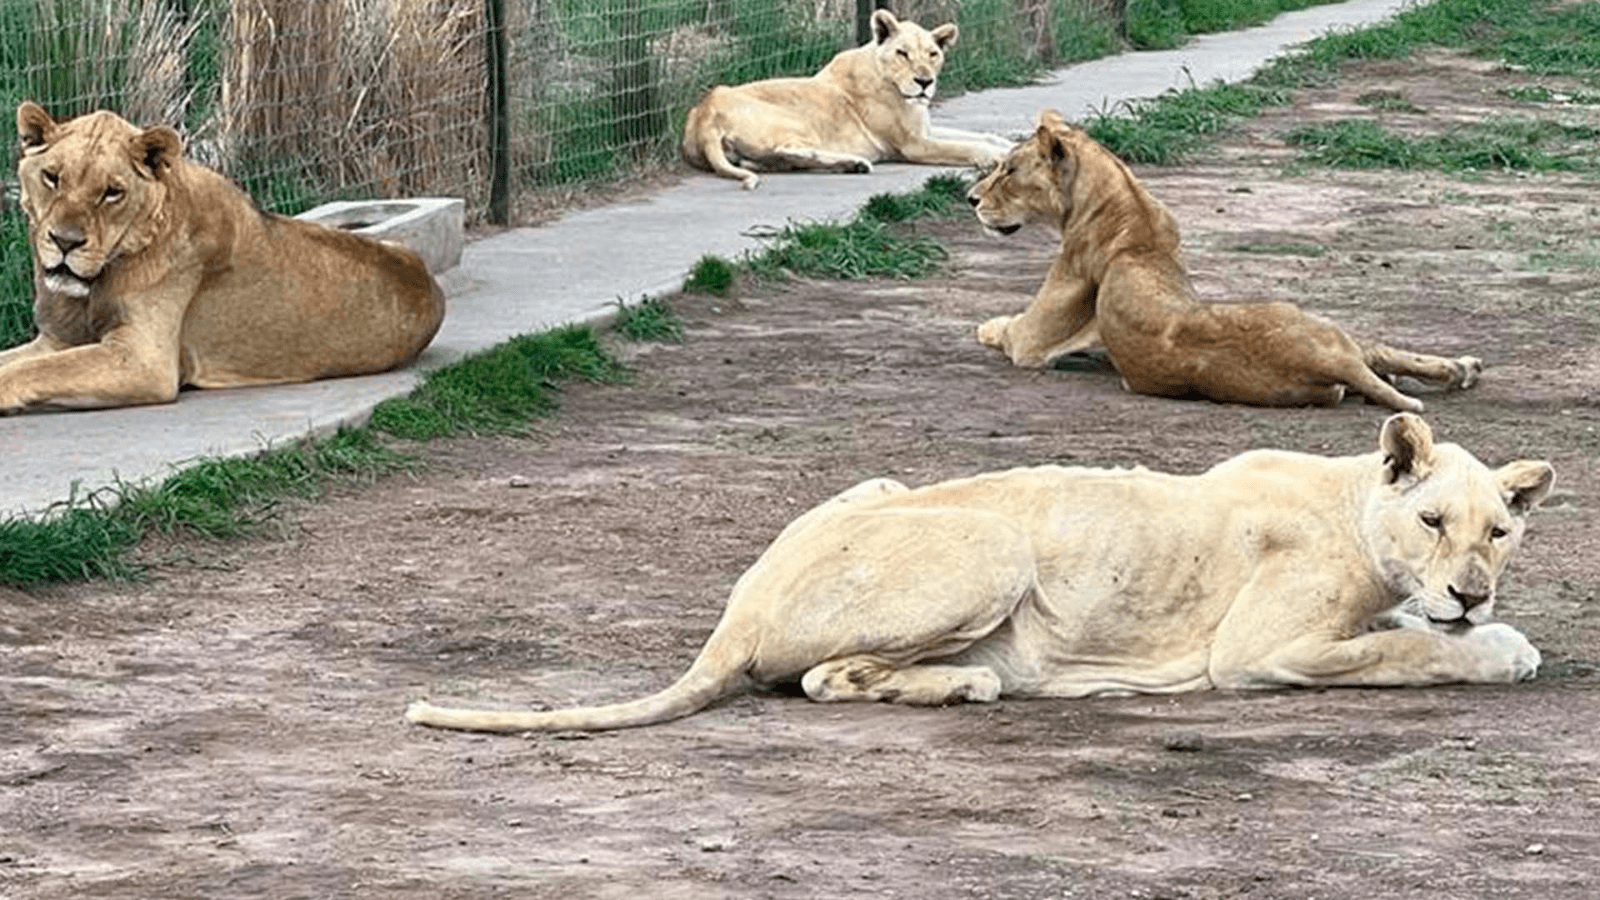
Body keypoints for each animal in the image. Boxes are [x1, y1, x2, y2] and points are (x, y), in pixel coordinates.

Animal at [0, 100, 444, 413]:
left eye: (112, 192)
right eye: (52, 177)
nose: (65, 241)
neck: (95, 283)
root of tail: (430, 281)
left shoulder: (145, 360)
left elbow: (37, 370)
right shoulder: (58, 340)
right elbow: (20, 361)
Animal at [409, 413, 1548, 730]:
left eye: (1499, 532)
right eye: (1433, 521)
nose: (1471, 590)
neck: (1355, 503)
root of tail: (737, 610)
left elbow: (1401, 636)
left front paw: (1458, 623)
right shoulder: (1257, 652)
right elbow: (1407, 656)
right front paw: (1498, 646)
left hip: (877, 483)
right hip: (997, 548)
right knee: (822, 678)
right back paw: (969, 683)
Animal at [678, 8, 1011, 190]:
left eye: (933, 54)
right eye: (902, 53)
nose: (924, 82)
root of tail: (702, 114)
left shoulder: (924, 129)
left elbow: (984, 135)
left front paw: (1010, 145)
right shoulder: (913, 144)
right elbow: (967, 147)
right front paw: (999, 157)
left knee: (765, 160)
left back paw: (851, 165)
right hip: (794, 121)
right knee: (788, 149)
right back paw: (856, 162)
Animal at [966, 108, 1478, 409]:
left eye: (1008, 170)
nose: (970, 198)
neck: (1127, 204)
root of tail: (1327, 362)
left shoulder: (1032, 342)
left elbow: (1001, 327)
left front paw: (985, 325)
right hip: (1331, 340)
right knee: (1379, 356)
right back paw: (1459, 369)